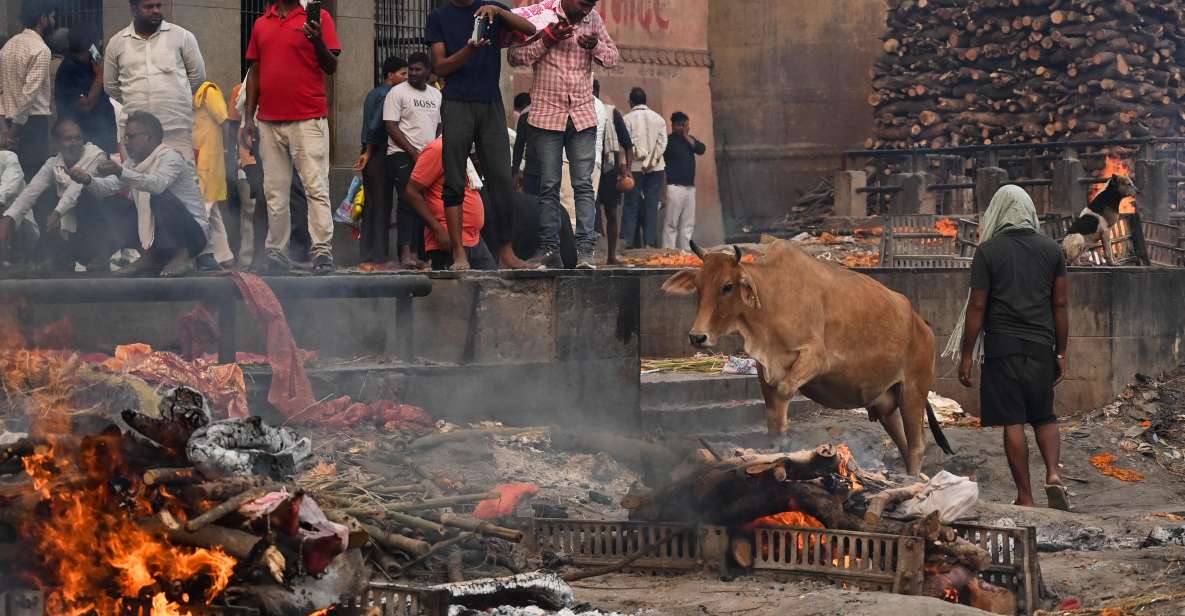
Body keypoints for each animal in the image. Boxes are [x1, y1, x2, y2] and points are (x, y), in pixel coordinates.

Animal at [668, 238, 952, 473]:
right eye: (698, 286)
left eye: (727, 286)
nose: (698, 336)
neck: (772, 299)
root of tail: (923, 326)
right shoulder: (764, 369)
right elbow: (772, 414)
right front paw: (777, 443)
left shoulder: (815, 358)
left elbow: (784, 391)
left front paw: (784, 438)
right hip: (885, 403)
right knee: (902, 443)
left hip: (913, 391)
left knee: (916, 445)